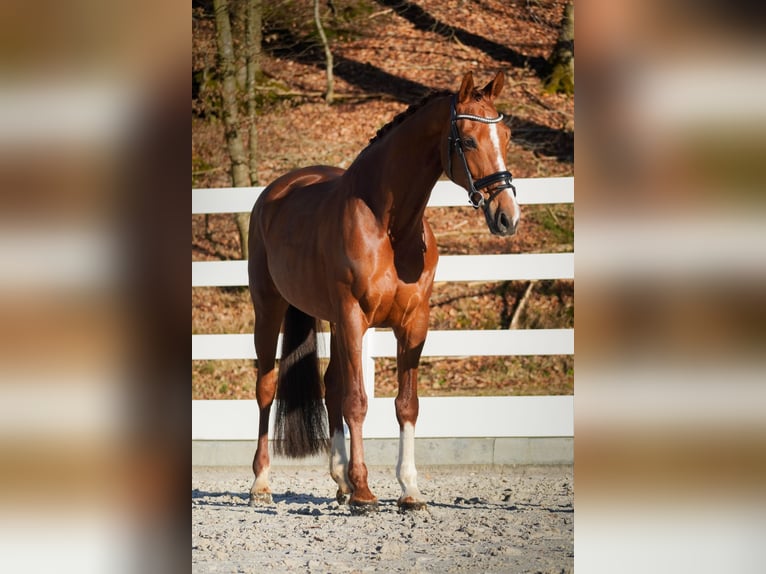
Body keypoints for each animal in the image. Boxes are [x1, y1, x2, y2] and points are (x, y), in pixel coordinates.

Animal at [249, 71, 520, 512]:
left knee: (331, 385)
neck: (388, 224)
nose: (507, 216)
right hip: (270, 308)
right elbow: (357, 402)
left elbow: (405, 404)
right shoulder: (353, 316)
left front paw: (409, 489)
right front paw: (364, 491)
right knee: (267, 388)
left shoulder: (412, 323)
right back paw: (262, 483)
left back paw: (340, 481)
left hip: (332, 322)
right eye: (467, 140)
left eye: (508, 136)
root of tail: (273, 193)